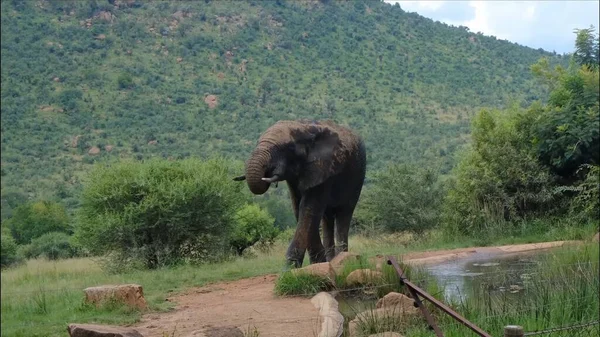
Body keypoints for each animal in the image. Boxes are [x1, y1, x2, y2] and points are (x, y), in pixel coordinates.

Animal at [233, 119, 366, 266]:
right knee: (327, 218)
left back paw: (342, 258)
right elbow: (299, 208)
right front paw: (317, 263)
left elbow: (308, 208)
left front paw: (291, 268)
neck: (304, 127)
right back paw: (331, 260)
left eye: (288, 148)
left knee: (344, 214)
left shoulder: (324, 168)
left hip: (357, 177)